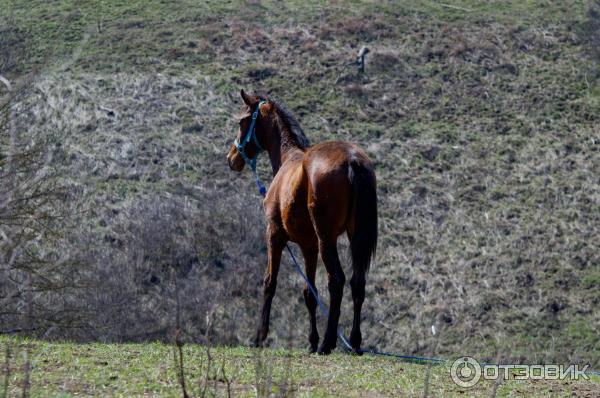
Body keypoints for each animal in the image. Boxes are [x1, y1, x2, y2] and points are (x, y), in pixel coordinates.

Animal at [225, 90, 376, 354]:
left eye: (242, 121)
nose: (232, 158)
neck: (289, 159)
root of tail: (352, 160)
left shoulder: (274, 235)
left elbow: (270, 283)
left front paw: (260, 337)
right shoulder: (309, 247)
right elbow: (309, 293)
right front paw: (311, 340)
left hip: (327, 240)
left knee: (337, 280)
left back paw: (328, 342)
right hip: (352, 238)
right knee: (357, 283)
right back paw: (354, 342)